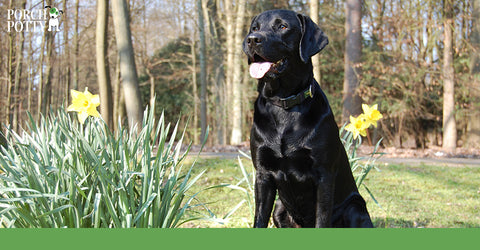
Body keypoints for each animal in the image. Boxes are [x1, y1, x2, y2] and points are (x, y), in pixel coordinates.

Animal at [242, 10, 374, 229]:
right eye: (255, 27)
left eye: (282, 27)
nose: (252, 39)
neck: (284, 103)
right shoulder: (262, 175)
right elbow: (259, 219)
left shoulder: (324, 175)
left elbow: (322, 220)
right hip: (279, 209)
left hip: (355, 208)